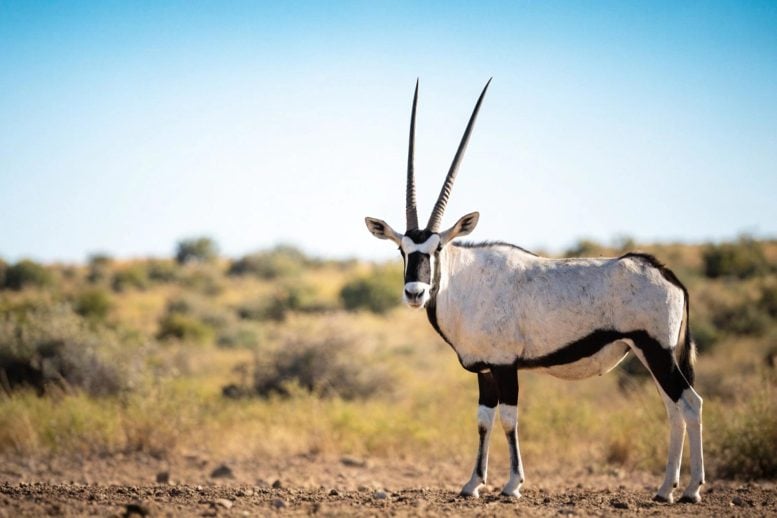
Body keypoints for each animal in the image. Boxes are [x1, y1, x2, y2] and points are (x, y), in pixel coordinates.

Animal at [364, 80, 704, 504]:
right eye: (402, 249)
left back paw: (690, 489)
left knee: (690, 403)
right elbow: (483, 419)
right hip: (649, 353)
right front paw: (472, 484)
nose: (415, 292)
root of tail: (666, 274)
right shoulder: (484, 370)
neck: (467, 283)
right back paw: (665, 489)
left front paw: (512, 485)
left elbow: (509, 419)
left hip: (657, 350)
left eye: (437, 248)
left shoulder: (505, 365)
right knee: (673, 408)